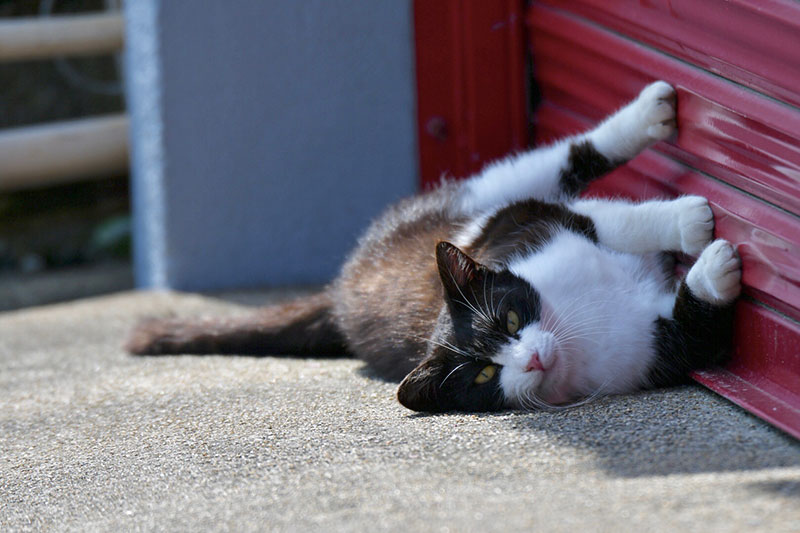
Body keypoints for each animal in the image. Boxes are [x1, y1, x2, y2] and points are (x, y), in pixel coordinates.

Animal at [128, 80, 740, 412]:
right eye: (484, 377)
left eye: (511, 318)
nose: (531, 358)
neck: (574, 325)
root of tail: (338, 289)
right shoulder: (653, 354)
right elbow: (695, 332)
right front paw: (715, 269)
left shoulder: (523, 229)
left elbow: (601, 221)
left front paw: (687, 222)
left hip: (488, 199)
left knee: (560, 162)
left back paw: (650, 114)